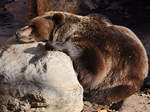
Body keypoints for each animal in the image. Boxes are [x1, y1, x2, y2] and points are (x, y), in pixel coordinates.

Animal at [14, 11, 148, 105]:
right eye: (29, 23)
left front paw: (52, 44)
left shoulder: (98, 45)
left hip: (120, 80)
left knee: (103, 93)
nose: (17, 32)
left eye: (32, 26)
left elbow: (94, 67)